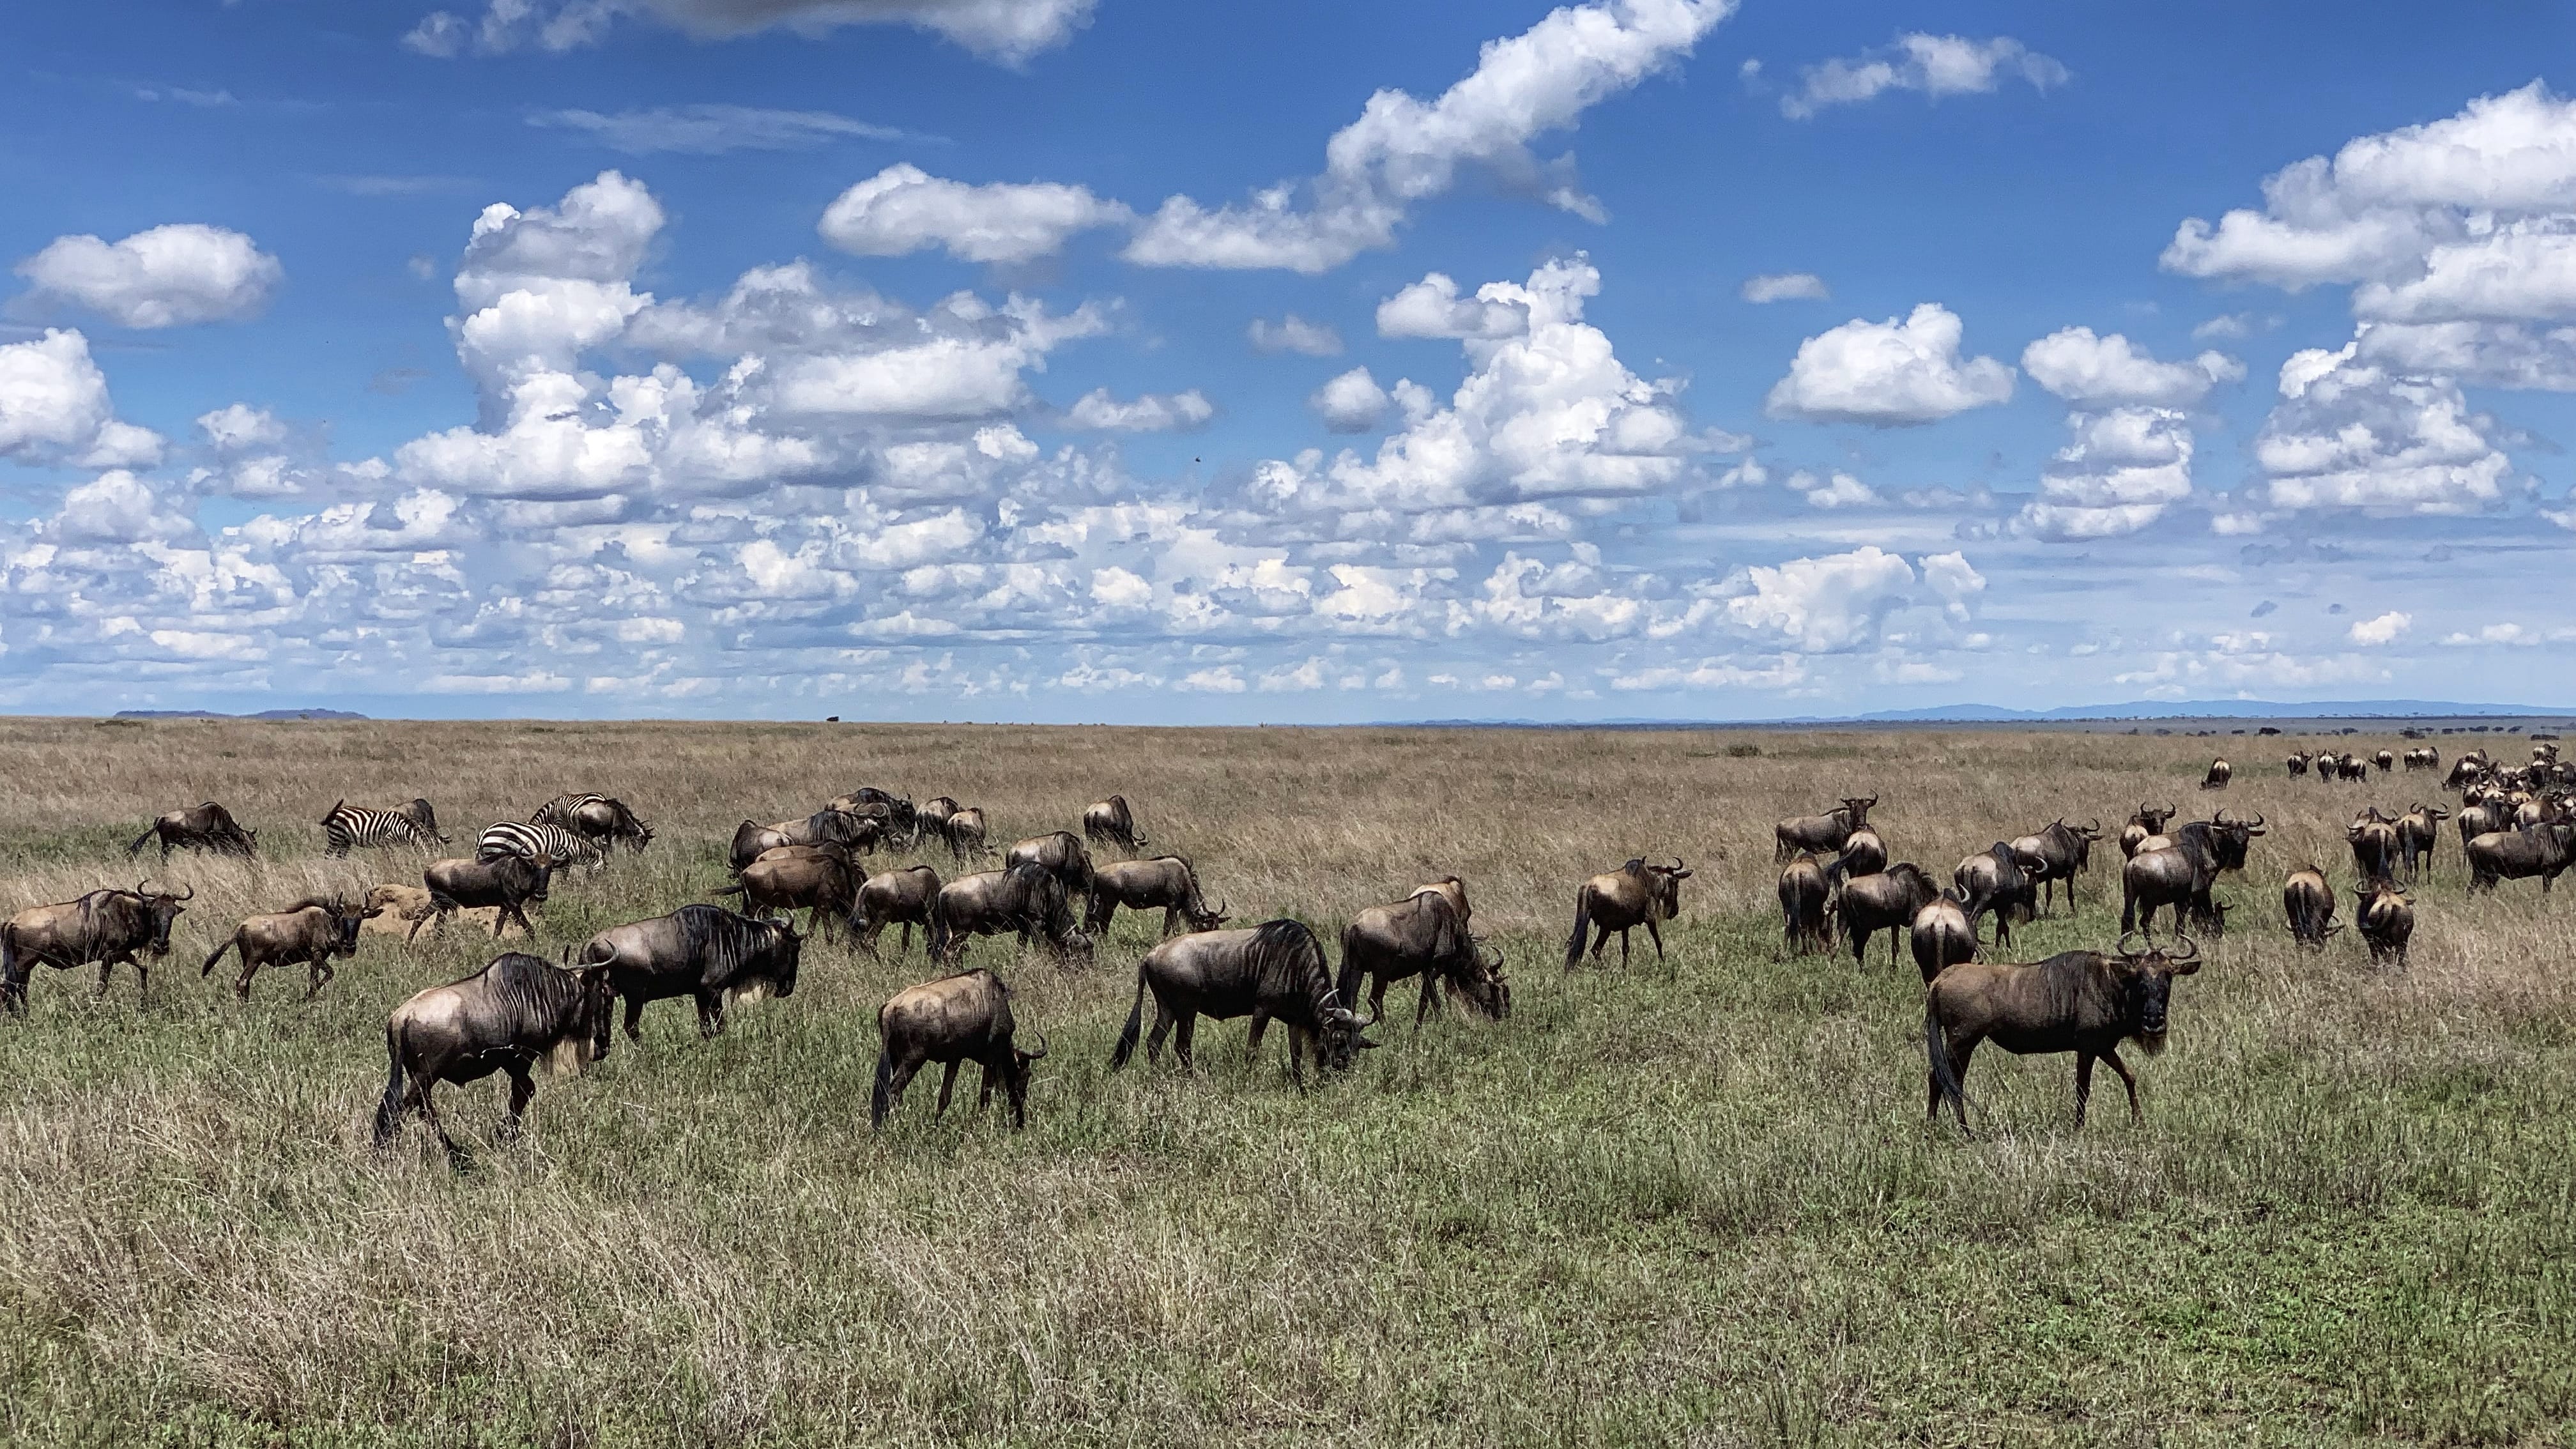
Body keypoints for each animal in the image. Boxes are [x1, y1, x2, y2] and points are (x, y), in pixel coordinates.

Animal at [321, 799, 446, 857]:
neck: (406, 830)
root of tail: (337, 811)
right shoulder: (388, 841)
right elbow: (391, 858)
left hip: (345, 841)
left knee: (340, 857)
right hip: (336, 836)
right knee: (328, 855)